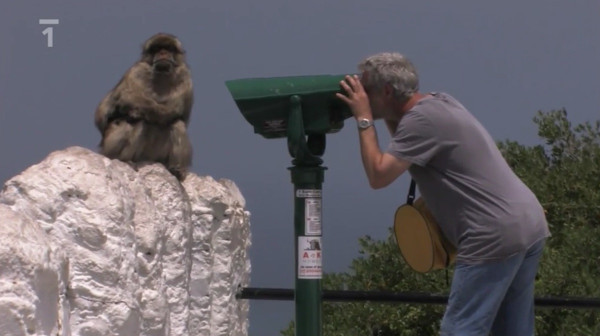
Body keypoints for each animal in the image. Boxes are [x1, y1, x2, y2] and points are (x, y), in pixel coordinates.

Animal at [94, 33, 192, 181]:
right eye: (157, 48)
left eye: (168, 48)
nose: (163, 53)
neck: (161, 75)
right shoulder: (138, 70)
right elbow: (125, 98)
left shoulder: (184, 74)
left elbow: (174, 112)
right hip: (111, 145)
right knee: (138, 120)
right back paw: (125, 160)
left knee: (177, 123)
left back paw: (176, 171)